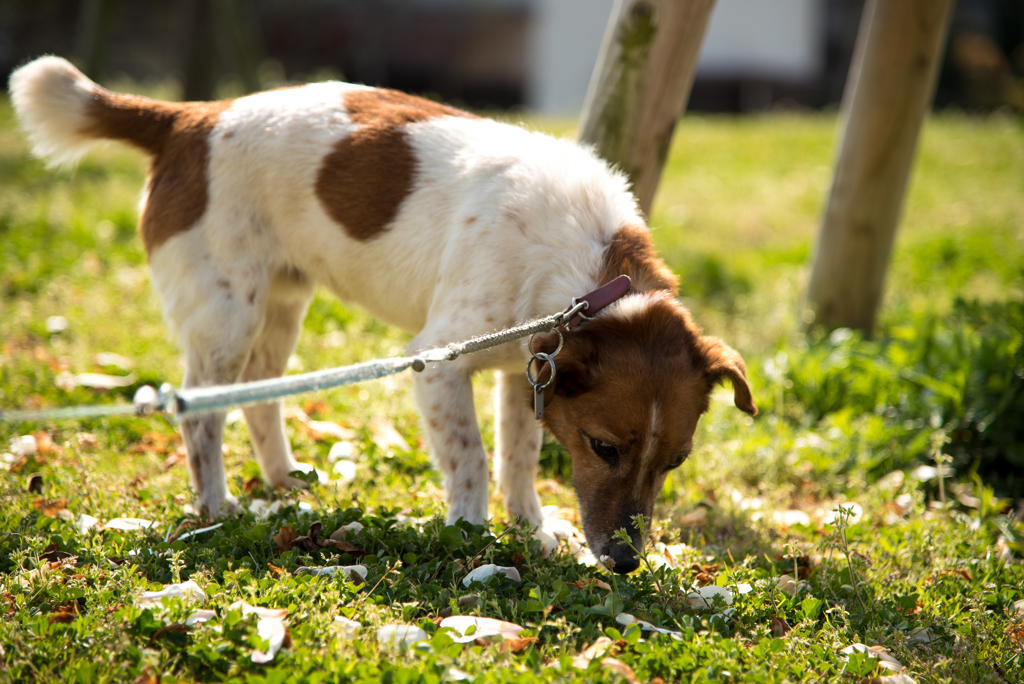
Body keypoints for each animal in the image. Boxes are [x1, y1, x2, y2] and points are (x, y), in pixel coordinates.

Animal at [9, 57, 753, 573]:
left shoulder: (526, 365)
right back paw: (216, 506)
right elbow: (472, 458)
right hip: (226, 316)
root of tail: (190, 118)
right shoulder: (440, 360)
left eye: (676, 460)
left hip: (282, 303)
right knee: (201, 415)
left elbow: (517, 458)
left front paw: (531, 528)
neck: (593, 277)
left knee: (260, 393)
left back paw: (283, 480)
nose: (625, 562)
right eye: (604, 448)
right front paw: (473, 535)